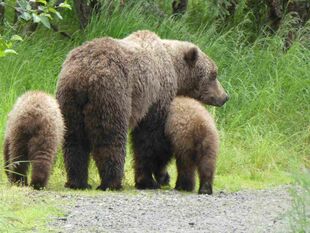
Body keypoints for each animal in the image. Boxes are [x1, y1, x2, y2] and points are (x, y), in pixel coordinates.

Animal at [57, 29, 229, 190]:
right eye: (214, 74)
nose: (225, 96)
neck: (174, 69)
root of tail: (85, 74)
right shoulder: (155, 97)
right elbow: (151, 140)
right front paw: (152, 179)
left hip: (69, 99)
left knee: (74, 139)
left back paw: (78, 182)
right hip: (112, 93)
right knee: (110, 137)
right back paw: (112, 182)